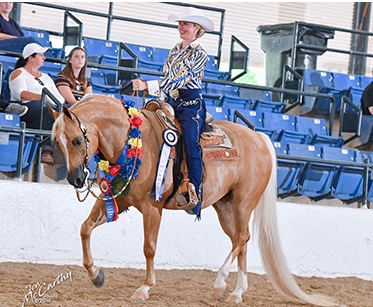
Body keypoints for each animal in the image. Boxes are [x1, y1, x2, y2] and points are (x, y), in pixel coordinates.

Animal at [50, 95, 334, 306]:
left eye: (77, 140)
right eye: (59, 143)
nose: (75, 178)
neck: (132, 141)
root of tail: (259, 139)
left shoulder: (152, 208)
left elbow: (149, 247)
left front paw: (144, 288)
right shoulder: (117, 200)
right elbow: (85, 228)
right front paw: (96, 274)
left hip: (244, 202)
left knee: (242, 238)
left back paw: (220, 283)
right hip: (225, 206)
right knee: (240, 241)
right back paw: (236, 293)